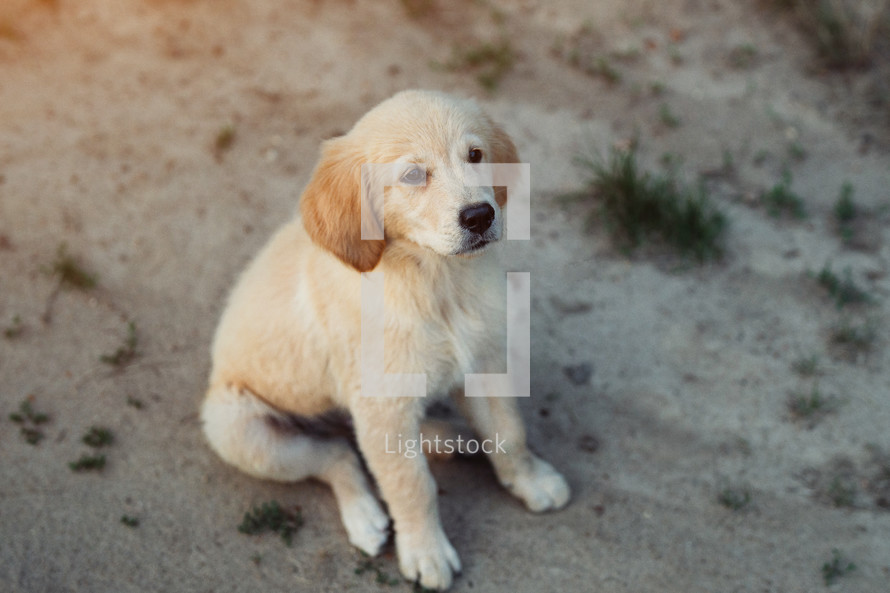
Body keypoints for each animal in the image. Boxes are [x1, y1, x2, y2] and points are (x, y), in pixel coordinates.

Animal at [201, 88, 568, 588]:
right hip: (237, 428)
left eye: (475, 155)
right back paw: (365, 515)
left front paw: (531, 482)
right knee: (336, 455)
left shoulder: (483, 364)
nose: (480, 216)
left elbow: (510, 433)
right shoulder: (383, 406)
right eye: (413, 175)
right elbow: (411, 483)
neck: (434, 280)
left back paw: (446, 438)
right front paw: (426, 551)